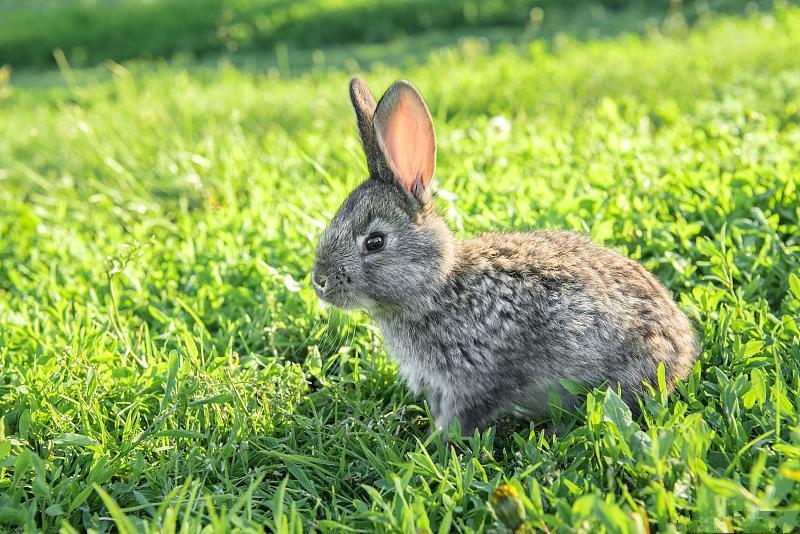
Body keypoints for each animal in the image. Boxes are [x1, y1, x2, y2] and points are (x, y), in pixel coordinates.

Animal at [314, 76, 700, 440]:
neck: (438, 288)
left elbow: (461, 418)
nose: (319, 281)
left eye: (375, 242)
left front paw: (433, 444)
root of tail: (683, 353)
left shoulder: (478, 378)